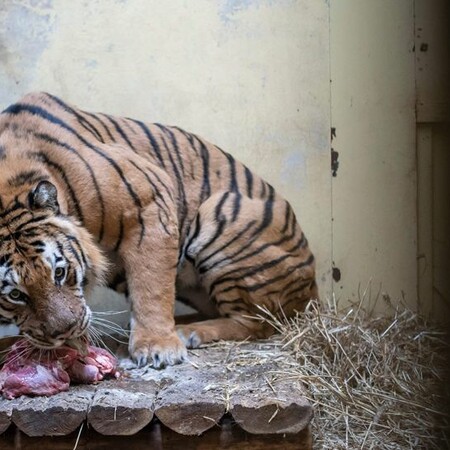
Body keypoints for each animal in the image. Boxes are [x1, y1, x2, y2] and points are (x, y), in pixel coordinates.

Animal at [0, 93, 318, 368]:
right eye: (15, 294)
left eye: (59, 272)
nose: (66, 332)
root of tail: (312, 290)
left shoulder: (149, 199)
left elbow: (151, 286)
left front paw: (158, 348)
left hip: (219, 214)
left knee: (257, 322)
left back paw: (190, 332)